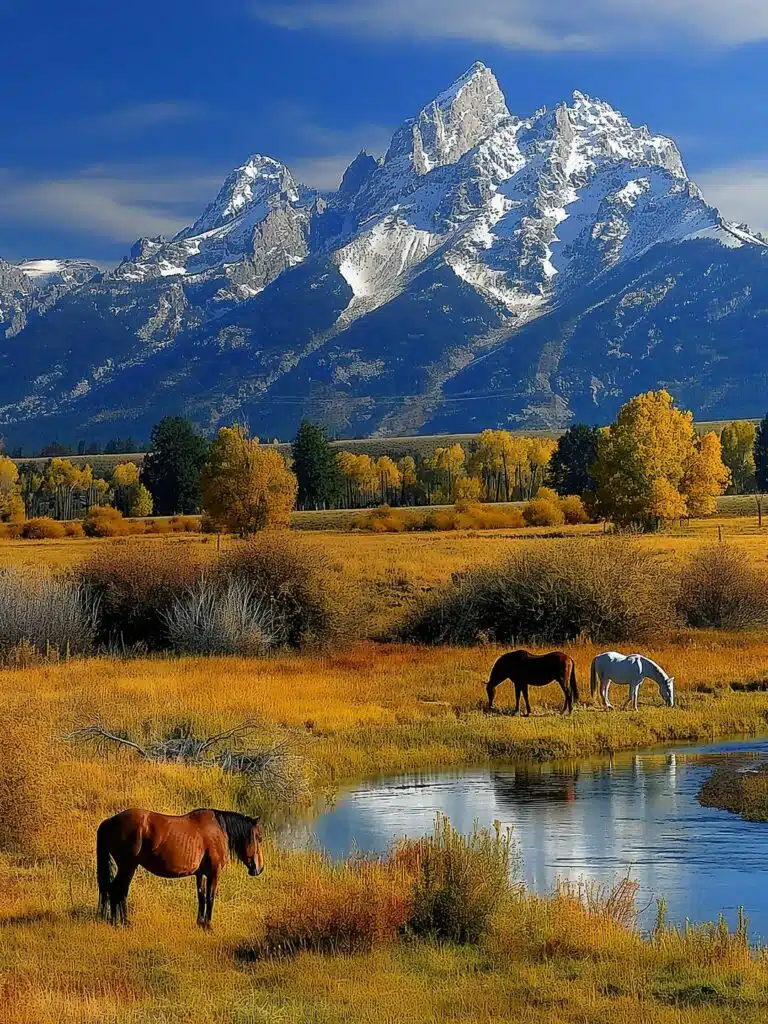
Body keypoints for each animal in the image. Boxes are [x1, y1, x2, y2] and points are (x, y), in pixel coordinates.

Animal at [96, 806, 264, 929]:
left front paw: (200, 923)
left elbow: (201, 896)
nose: (259, 868)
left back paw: (119, 921)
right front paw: (208, 926)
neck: (218, 830)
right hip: (127, 866)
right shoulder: (213, 874)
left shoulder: (201, 874)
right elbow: (210, 898)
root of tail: (109, 821)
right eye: (259, 838)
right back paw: (120, 922)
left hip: (129, 867)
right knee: (117, 890)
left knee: (118, 890)